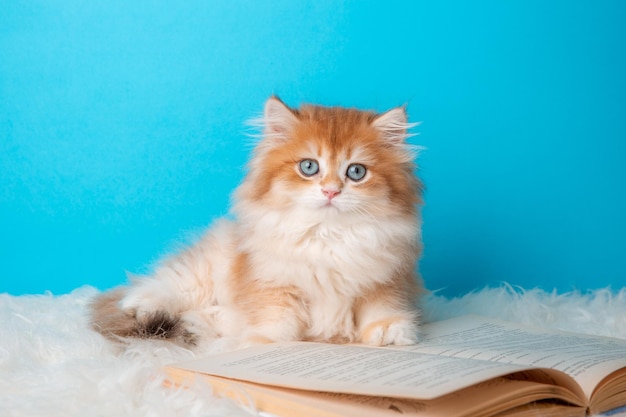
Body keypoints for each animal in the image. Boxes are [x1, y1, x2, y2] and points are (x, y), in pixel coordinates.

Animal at [90, 96, 424, 346]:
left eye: (356, 172)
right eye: (309, 167)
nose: (331, 191)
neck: (328, 236)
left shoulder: (388, 277)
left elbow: (380, 305)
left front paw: (389, 329)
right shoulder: (273, 281)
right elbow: (278, 319)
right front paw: (265, 341)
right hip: (200, 272)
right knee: (159, 287)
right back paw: (142, 307)